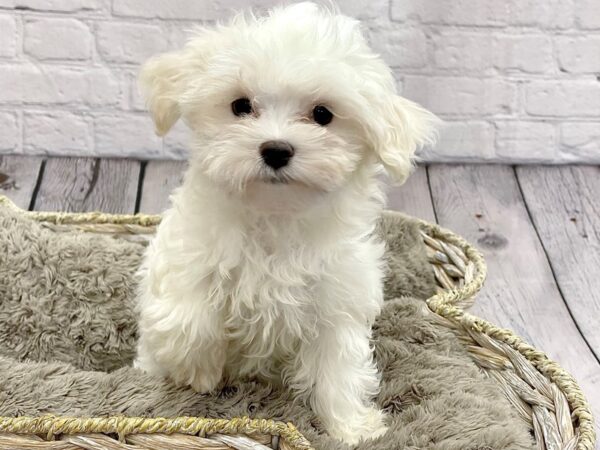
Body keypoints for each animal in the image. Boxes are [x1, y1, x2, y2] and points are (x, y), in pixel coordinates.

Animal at [135, 2, 436, 446]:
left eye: (323, 114)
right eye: (241, 105)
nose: (276, 149)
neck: (274, 218)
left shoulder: (337, 301)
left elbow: (339, 368)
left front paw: (352, 428)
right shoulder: (186, 255)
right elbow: (186, 319)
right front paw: (196, 372)